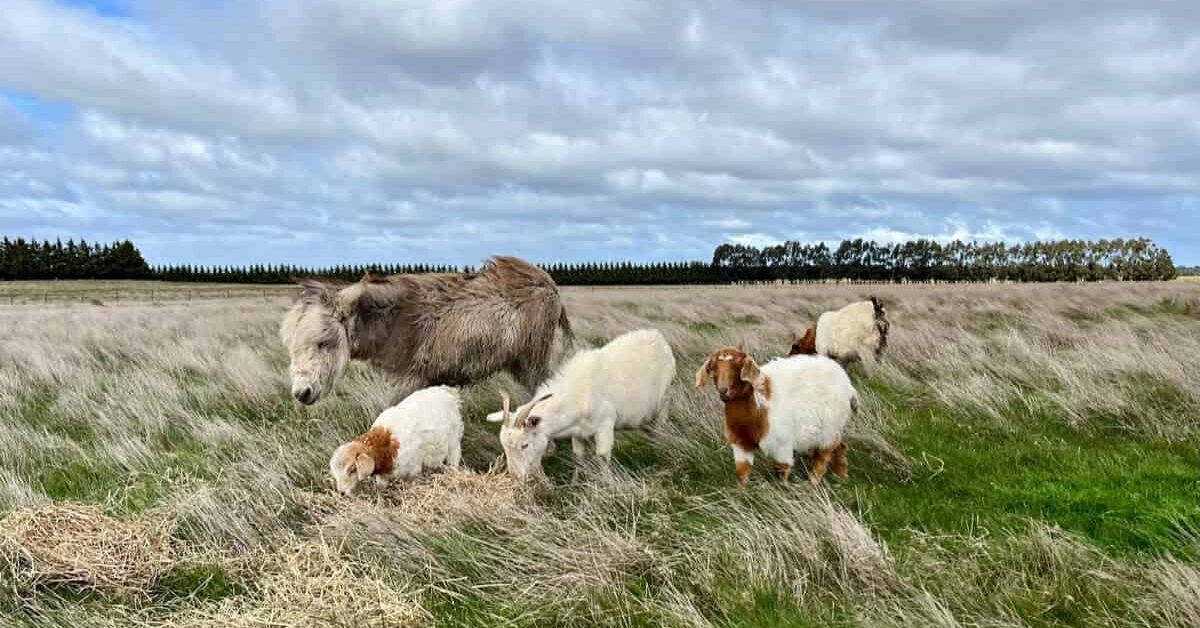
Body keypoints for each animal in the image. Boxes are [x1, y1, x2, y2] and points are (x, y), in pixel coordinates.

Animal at [328, 384, 463, 497]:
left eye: (352, 470)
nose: (341, 493)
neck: (386, 444)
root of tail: (448, 392)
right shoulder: (383, 477)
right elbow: (380, 489)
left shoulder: (413, 470)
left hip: (454, 440)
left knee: (454, 457)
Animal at [484, 329, 676, 482]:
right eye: (505, 446)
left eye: (525, 445)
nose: (516, 477)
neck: (578, 393)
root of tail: (659, 337)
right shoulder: (578, 431)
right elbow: (578, 457)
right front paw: (575, 482)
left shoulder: (605, 423)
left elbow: (602, 456)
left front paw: (608, 483)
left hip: (664, 402)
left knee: (660, 429)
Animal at [700, 348, 859, 487]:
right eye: (713, 368)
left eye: (738, 367)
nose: (723, 390)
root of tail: (848, 385)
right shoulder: (741, 443)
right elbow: (742, 471)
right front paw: (742, 493)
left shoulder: (782, 442)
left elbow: (782, 469)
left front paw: (782, 489)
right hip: (833, 429)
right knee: (840, 446)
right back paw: (842, 476)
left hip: (829, 427)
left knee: (823, 457)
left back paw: (812, 483)